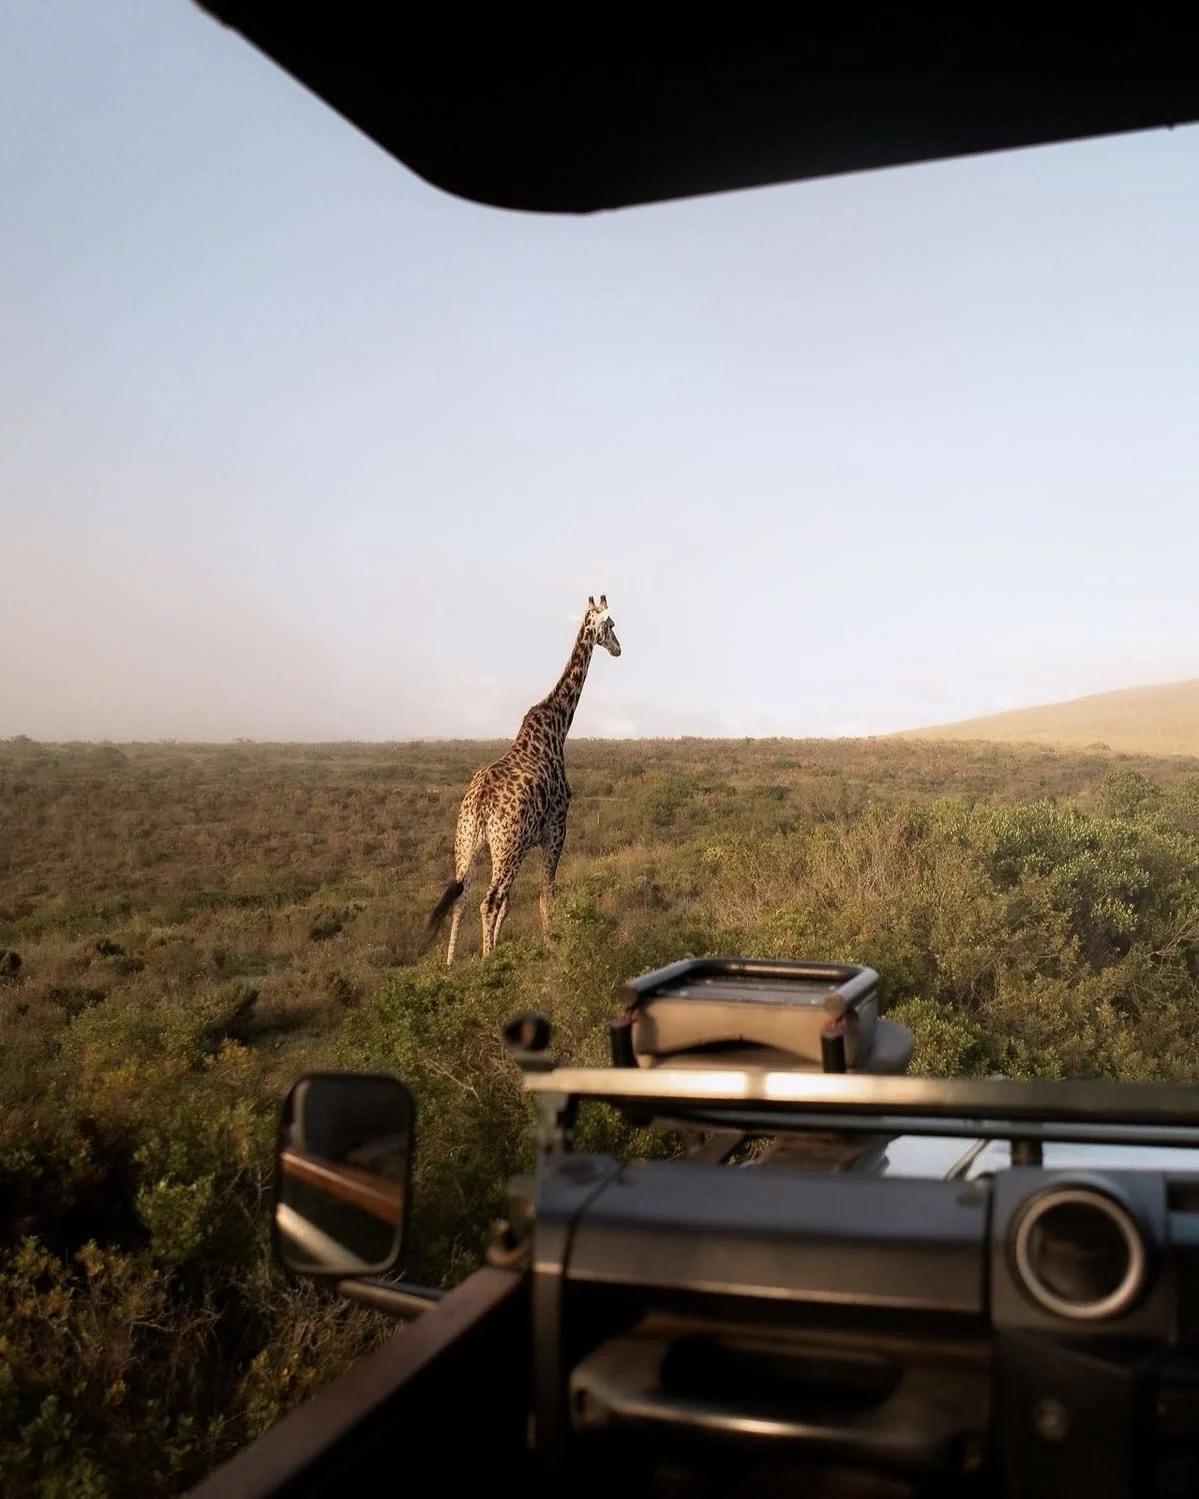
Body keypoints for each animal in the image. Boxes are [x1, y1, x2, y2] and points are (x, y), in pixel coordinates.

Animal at [425, 595, 622, 964]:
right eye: (612, 624)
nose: (619, 649)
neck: (558, 725)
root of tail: (481, 803)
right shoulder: (556, 828)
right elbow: (546, 895)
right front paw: (553, 944)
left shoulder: (529, 840)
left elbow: (512, 903)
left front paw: (505, 945)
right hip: (507, 845)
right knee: (489, 900)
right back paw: (487, 963)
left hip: (470, 841)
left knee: (462, 897)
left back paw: (451, 965)